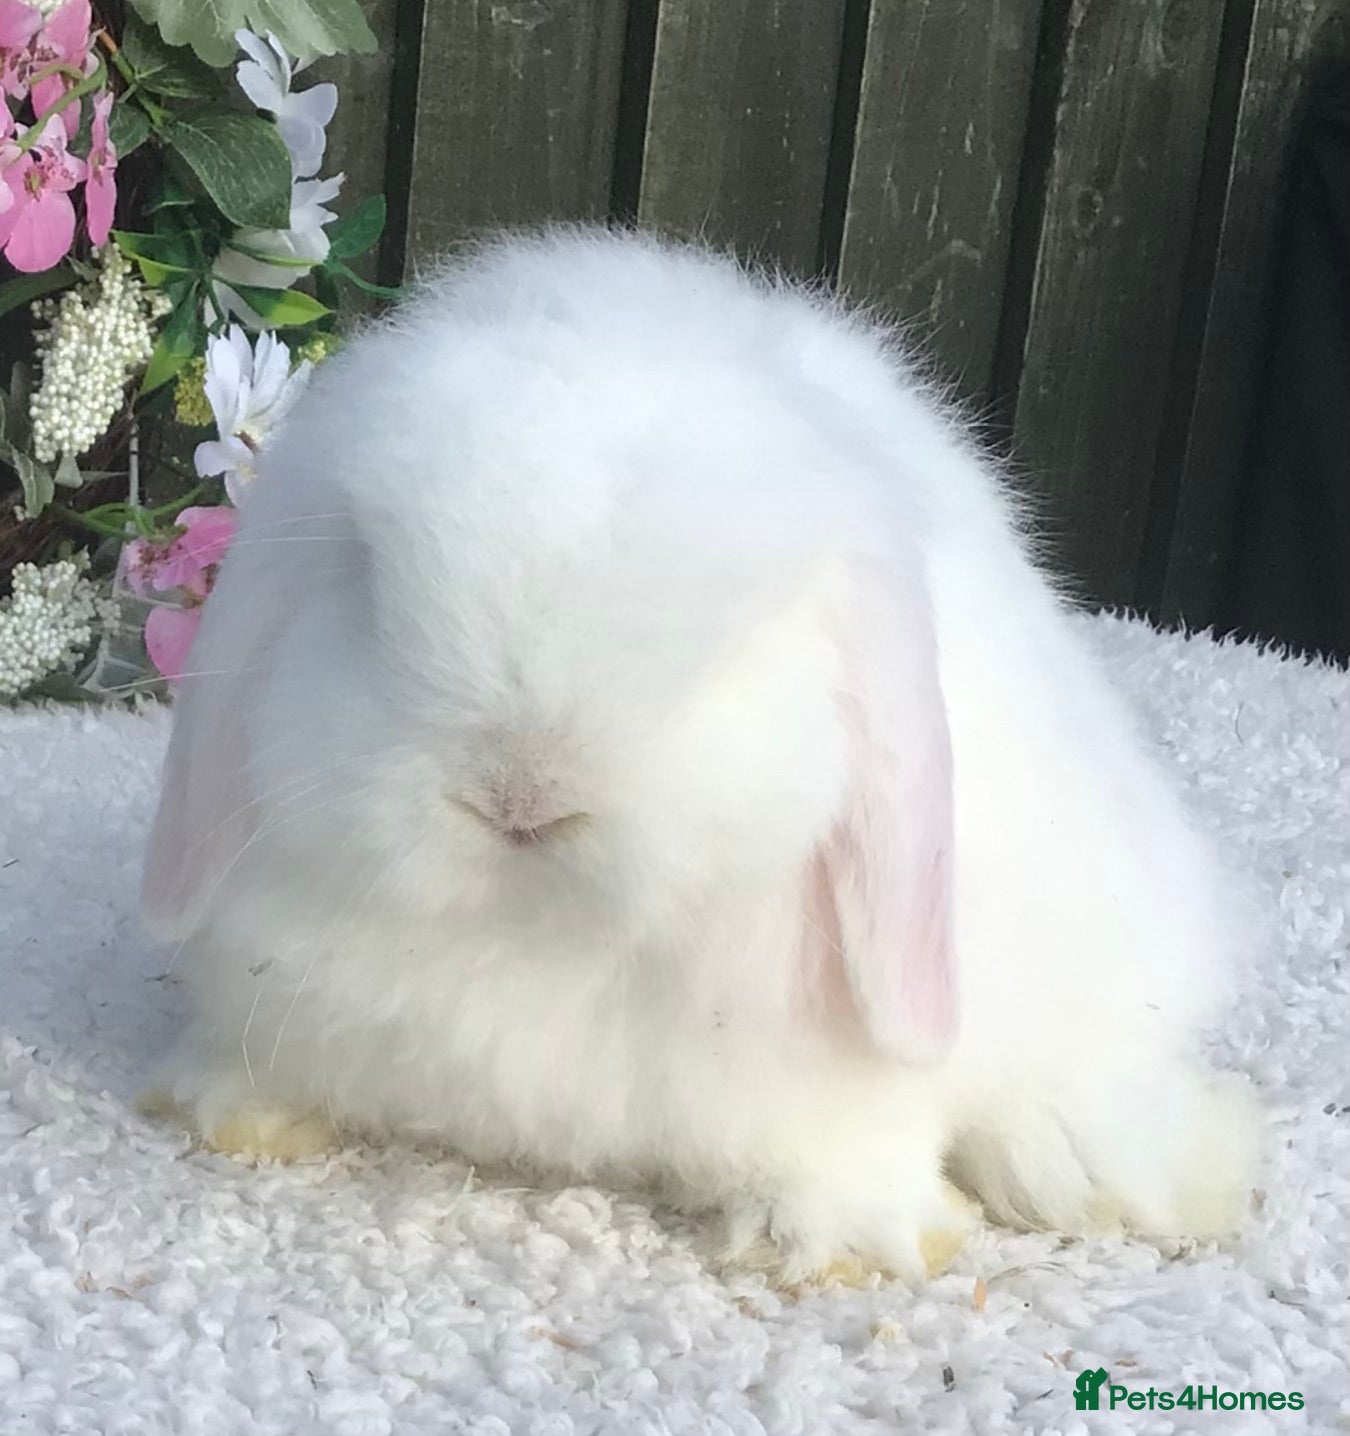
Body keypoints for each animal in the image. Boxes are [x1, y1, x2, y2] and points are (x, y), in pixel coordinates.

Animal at [141, 226, 1258, 1286]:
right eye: (369, 589)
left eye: (734, 649)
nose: (520, 797)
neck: (539, 939)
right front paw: (242, 1113)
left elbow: (849, 1146)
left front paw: (854, 1243)